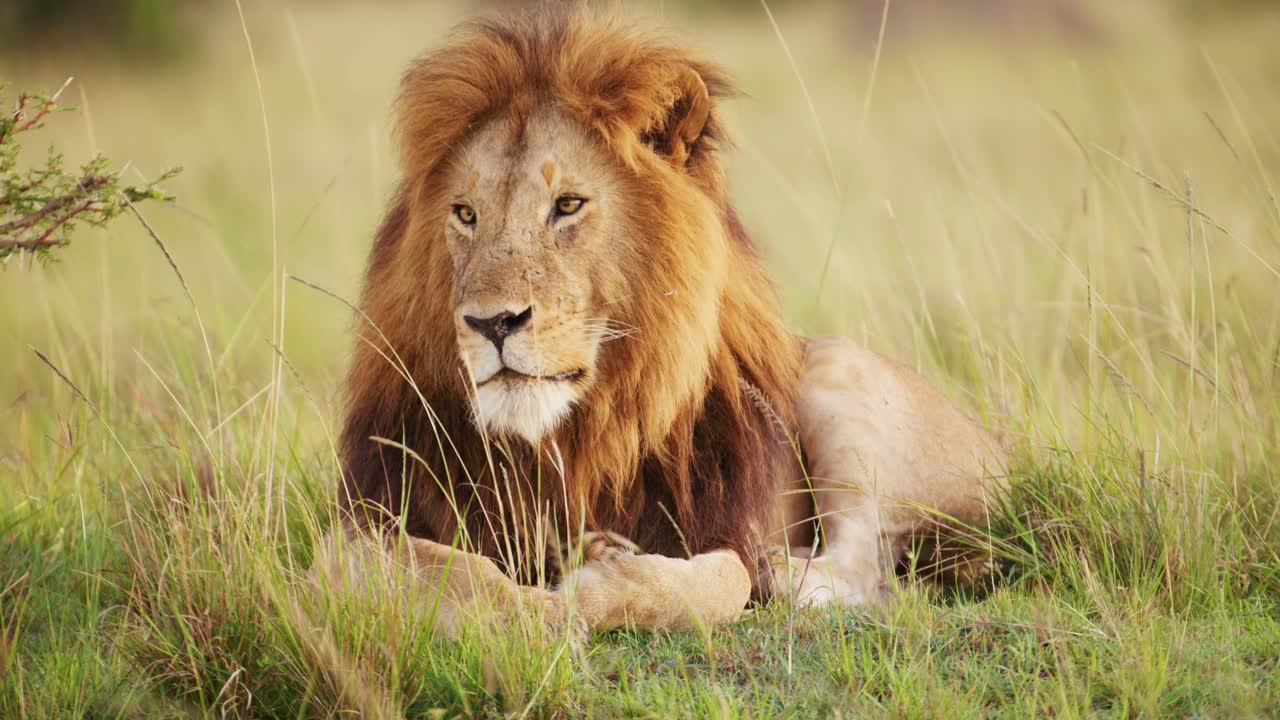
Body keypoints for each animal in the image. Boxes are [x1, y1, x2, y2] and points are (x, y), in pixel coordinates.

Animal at [322, 8, 1008, 635]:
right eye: (465, 214)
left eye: (567, 205)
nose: (491, 323)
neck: (569, 440)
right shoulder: (354, 528)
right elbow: (443, 571)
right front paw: (529, 610)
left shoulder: (721, 525)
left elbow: (721, 580)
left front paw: (593, 579)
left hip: (838, 370)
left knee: (866, 565)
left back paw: (781, 571)